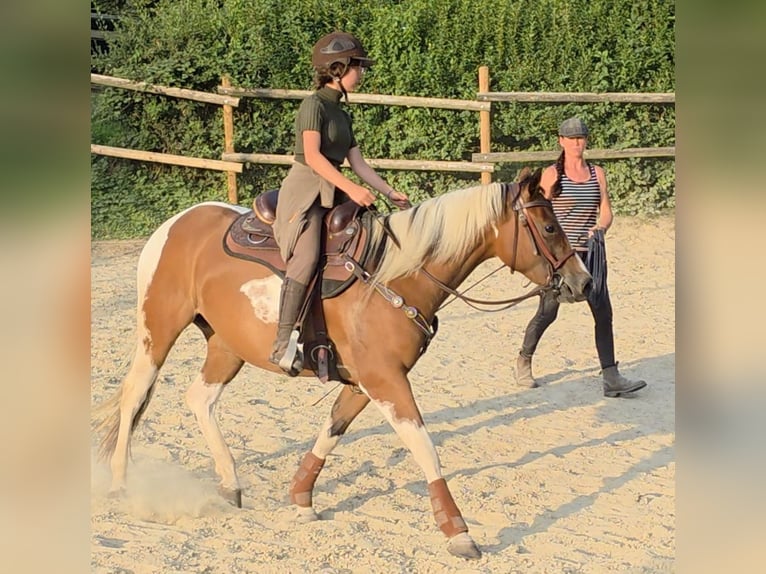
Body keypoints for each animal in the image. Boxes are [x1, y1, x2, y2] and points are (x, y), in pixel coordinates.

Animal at [93, 168, 592, 560]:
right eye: (549, 227)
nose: (582, 282)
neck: (395, 276)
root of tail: (176, 223)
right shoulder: (385, 380)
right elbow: (425, 448)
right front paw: (458, 532)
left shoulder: (363, 381)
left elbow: (332, 430)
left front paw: (301, 497)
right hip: (157, 332)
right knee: (134, 397)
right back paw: (119, 484)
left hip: (226, 346)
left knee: (199, 399)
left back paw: (230, 482)